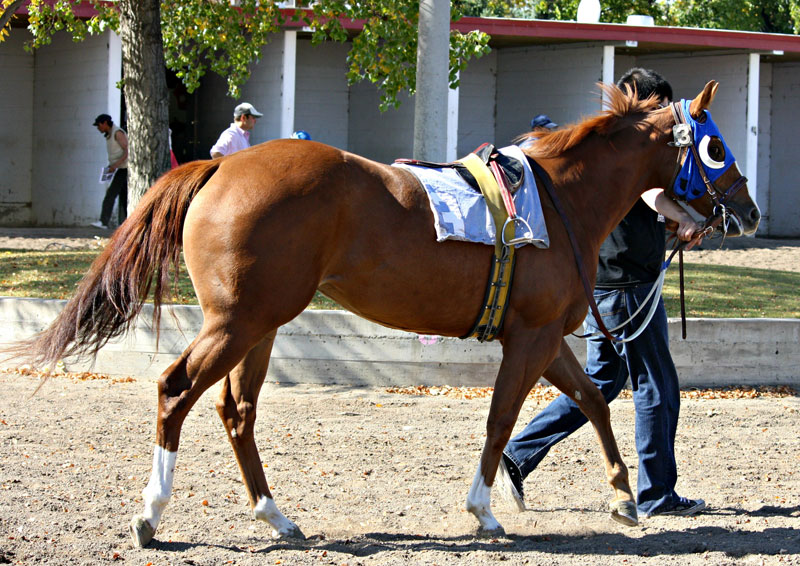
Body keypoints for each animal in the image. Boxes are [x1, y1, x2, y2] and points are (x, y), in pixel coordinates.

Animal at [17, 82, 756, 548]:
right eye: (717, 147)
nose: (746, 210)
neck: (559, 200)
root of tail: (217, 168)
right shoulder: (530, 340)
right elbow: (501, 419)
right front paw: (484, 511)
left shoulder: (546, 336)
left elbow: (594, 402)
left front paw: (623, 496)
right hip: (237, 323)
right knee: (176, 390)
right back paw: (152, 513)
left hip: (260, 325)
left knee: (236, 411)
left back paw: (276, 516)